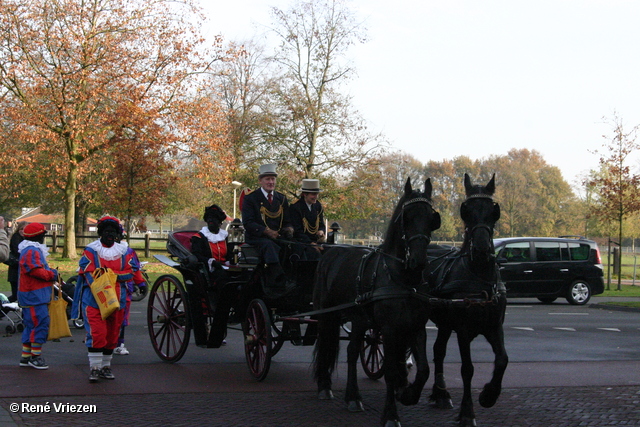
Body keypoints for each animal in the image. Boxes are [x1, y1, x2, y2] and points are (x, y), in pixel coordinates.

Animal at [312, 179, 442, 427]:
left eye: (432, 218)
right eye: (406, 217)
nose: (419, 260)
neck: (403, 279)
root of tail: (330, 252)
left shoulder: (416, 328)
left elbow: (423, 369)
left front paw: (408, 394)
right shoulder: (390, 329)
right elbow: (391, 370)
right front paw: (391, 415)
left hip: (359, 320)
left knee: (352, 351)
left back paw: (352, 397)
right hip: (328, 315)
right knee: (329, 344)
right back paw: (327, 387)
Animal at [428, 174, 508, 427]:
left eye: (493, 211)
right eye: (466, 211)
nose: (481, 249)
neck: (478, 275)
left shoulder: (494, 326)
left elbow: (502, 360)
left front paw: (489, 395)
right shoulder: (463, 330)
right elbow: (467, 369)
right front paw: (467, 412)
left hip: (445, 322)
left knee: (438, 350)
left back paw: (441, 394)